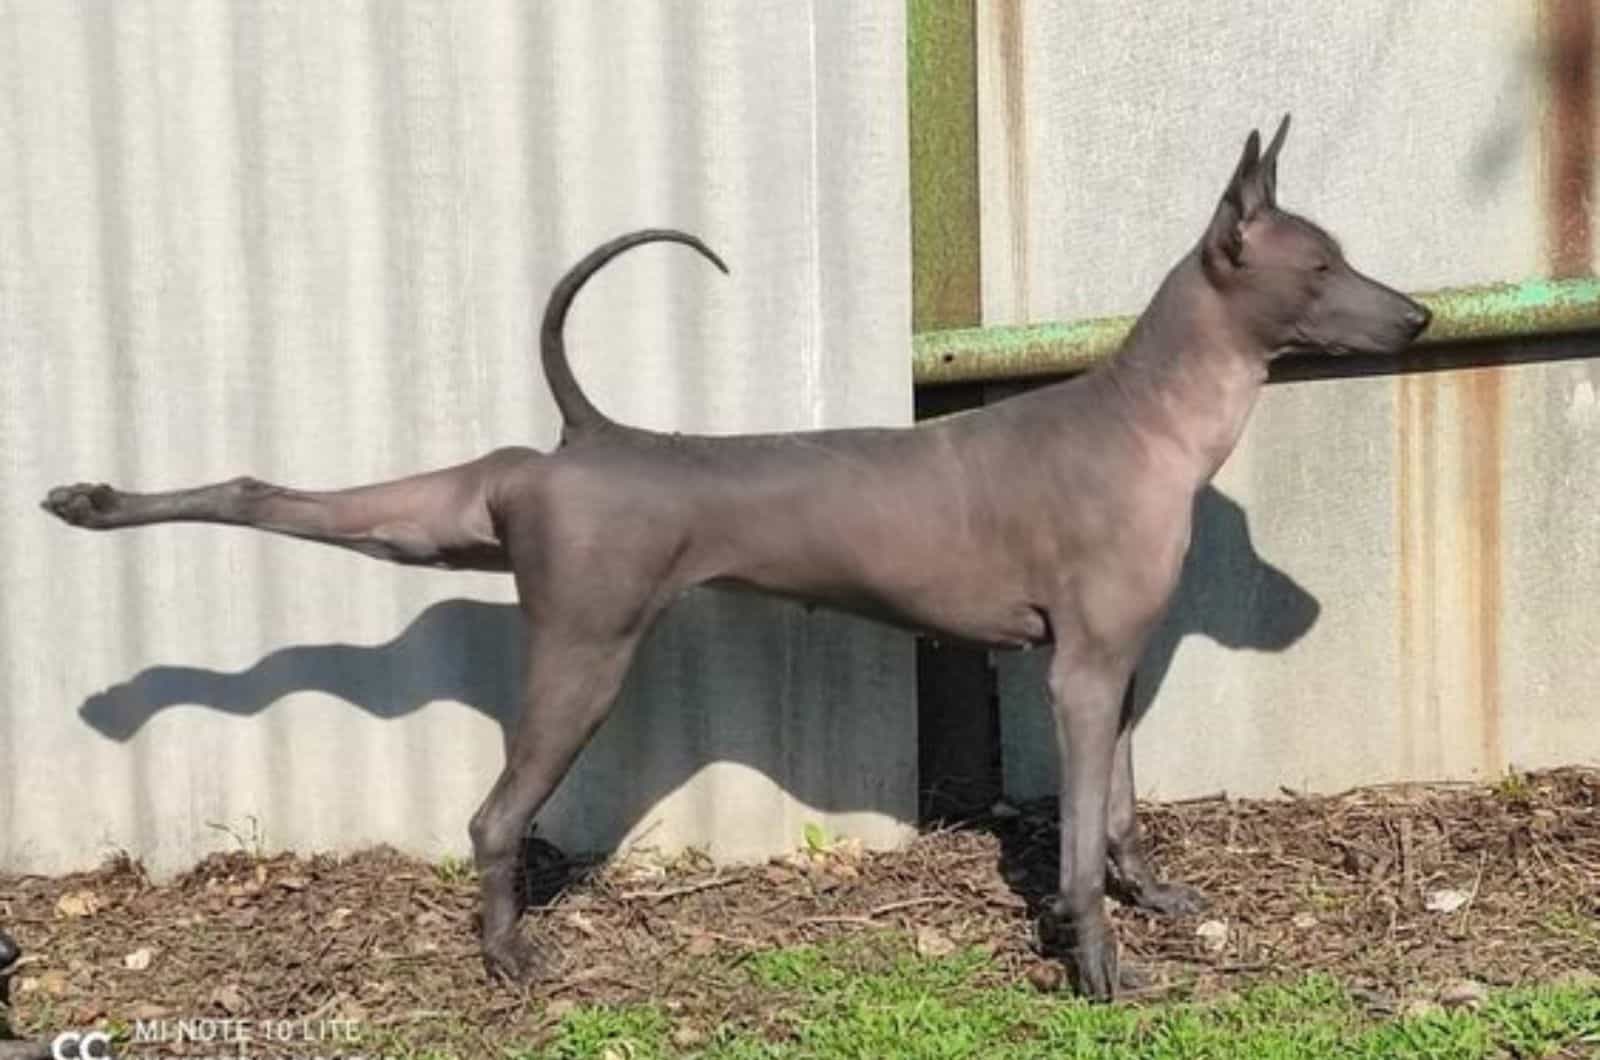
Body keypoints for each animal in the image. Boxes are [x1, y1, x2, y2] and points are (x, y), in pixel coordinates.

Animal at [43, 116, 1433, 999]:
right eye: (1322, 265)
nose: (1419, 314)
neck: (1147, 416)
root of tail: (591, 433)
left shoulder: (1117, 669)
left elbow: (1123, 813)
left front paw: (1151, 898)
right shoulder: (1079, 672)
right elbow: (1081, 836)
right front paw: (1097, 962)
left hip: (464, 513)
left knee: (285, 494)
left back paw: (89, 503)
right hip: (585, 647)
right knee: (493, 812)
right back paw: (507, 959)